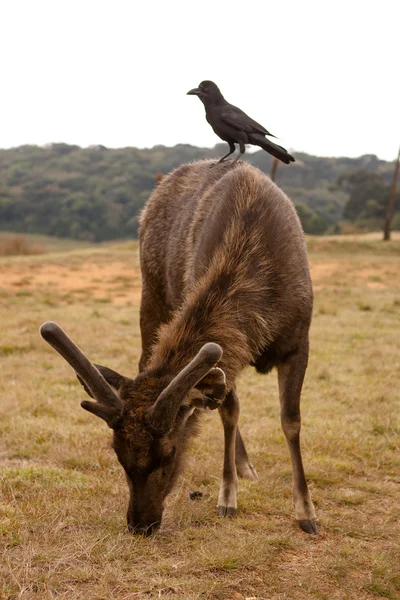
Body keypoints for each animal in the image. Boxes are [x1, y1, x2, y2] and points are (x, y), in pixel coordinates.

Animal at [39, 158, 318, 536]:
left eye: (169, 453)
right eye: (117, 454)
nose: (140, 523)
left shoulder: (300, 339)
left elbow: (290, 420)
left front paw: (306, 512)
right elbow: (229, 412)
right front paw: (227, 497)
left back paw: (246, 466)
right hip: (151, 292)